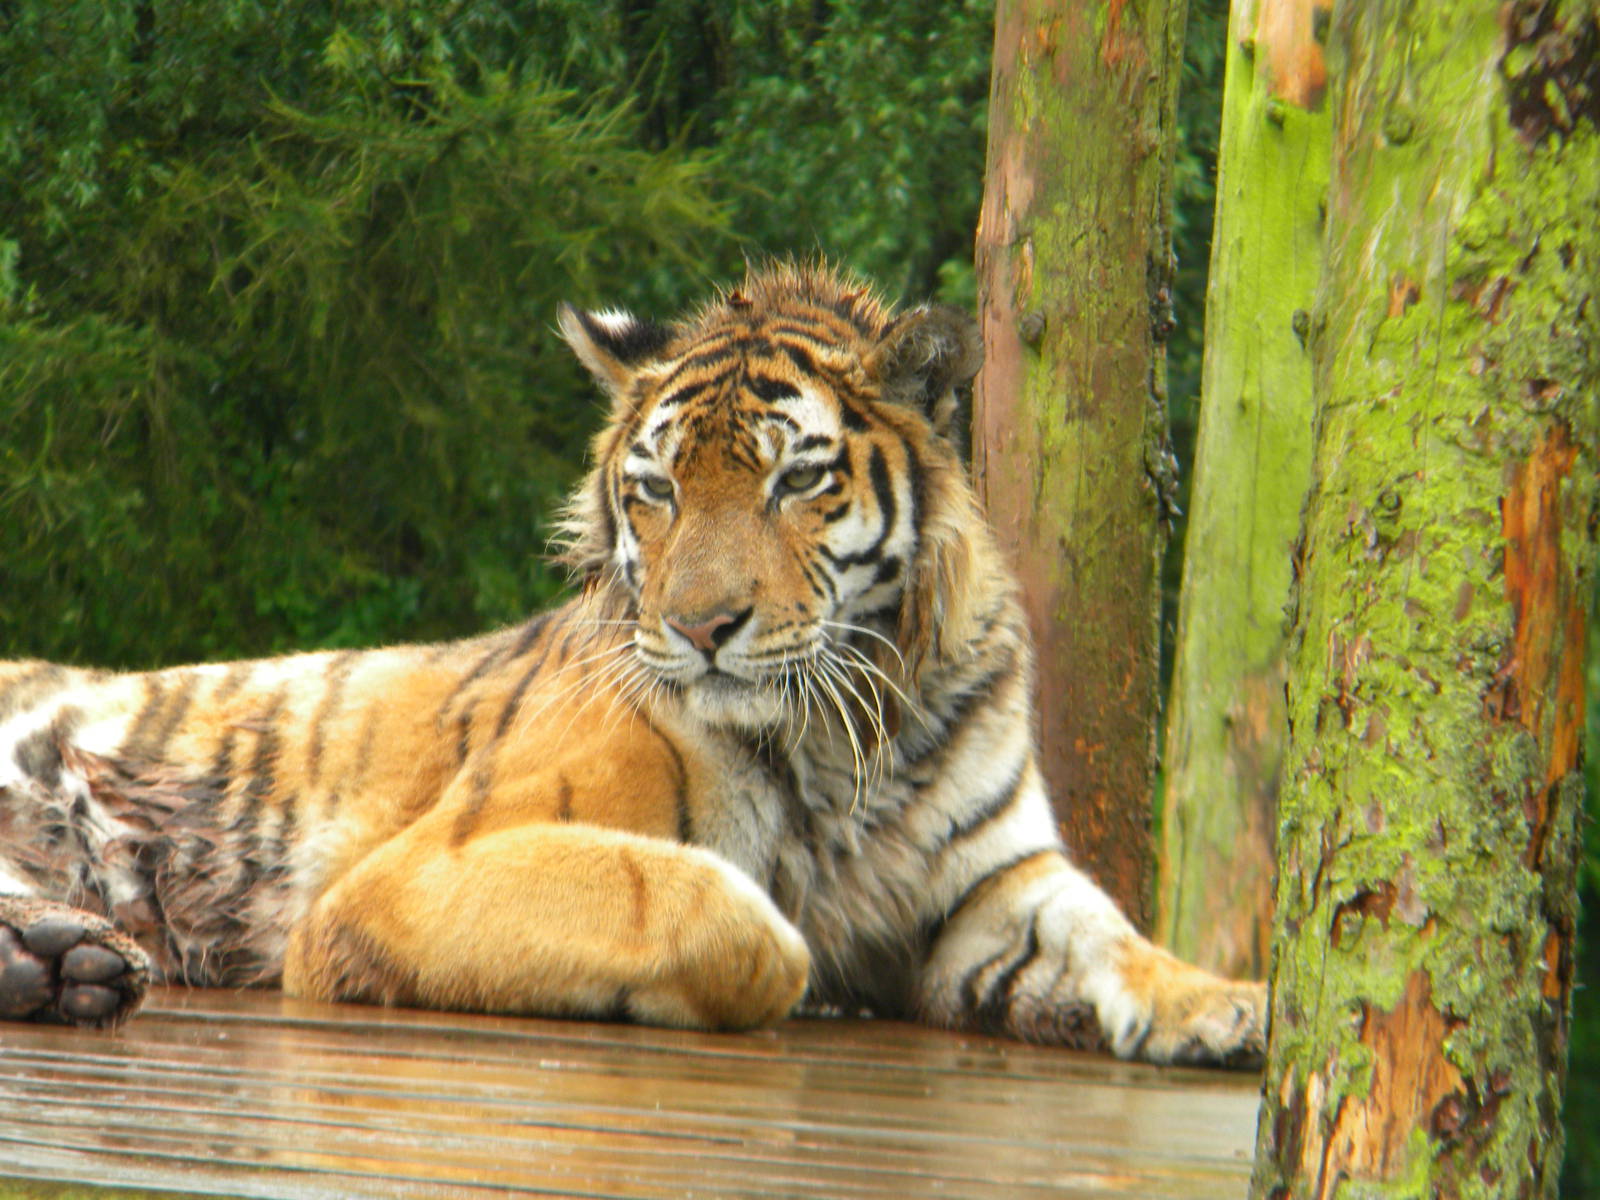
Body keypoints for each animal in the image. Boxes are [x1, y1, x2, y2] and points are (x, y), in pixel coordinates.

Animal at [0, 263, 1265, 1066]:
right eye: (655, 490)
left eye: (797, 479)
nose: (704, 626)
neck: (851, 729)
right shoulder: (413, 874)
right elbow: (724, 908)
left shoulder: (996, 884)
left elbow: (1107, 935)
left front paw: (1226, 1008)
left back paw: (60, 963)